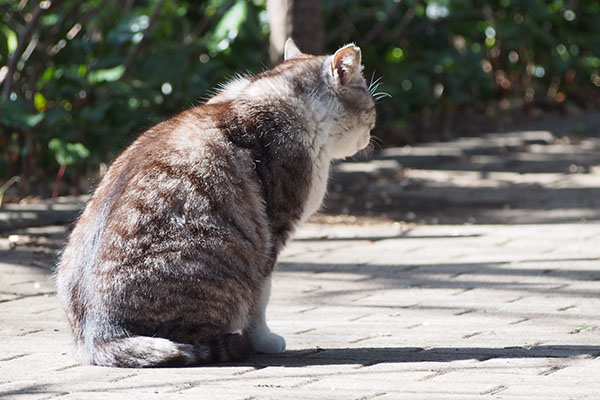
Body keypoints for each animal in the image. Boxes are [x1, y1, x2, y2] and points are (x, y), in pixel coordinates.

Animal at [55, 39, 376, 368]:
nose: (370, 135)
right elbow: (261, 300)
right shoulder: (273, 234)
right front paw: (265, 341)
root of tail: (99, 336)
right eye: (372, 108)